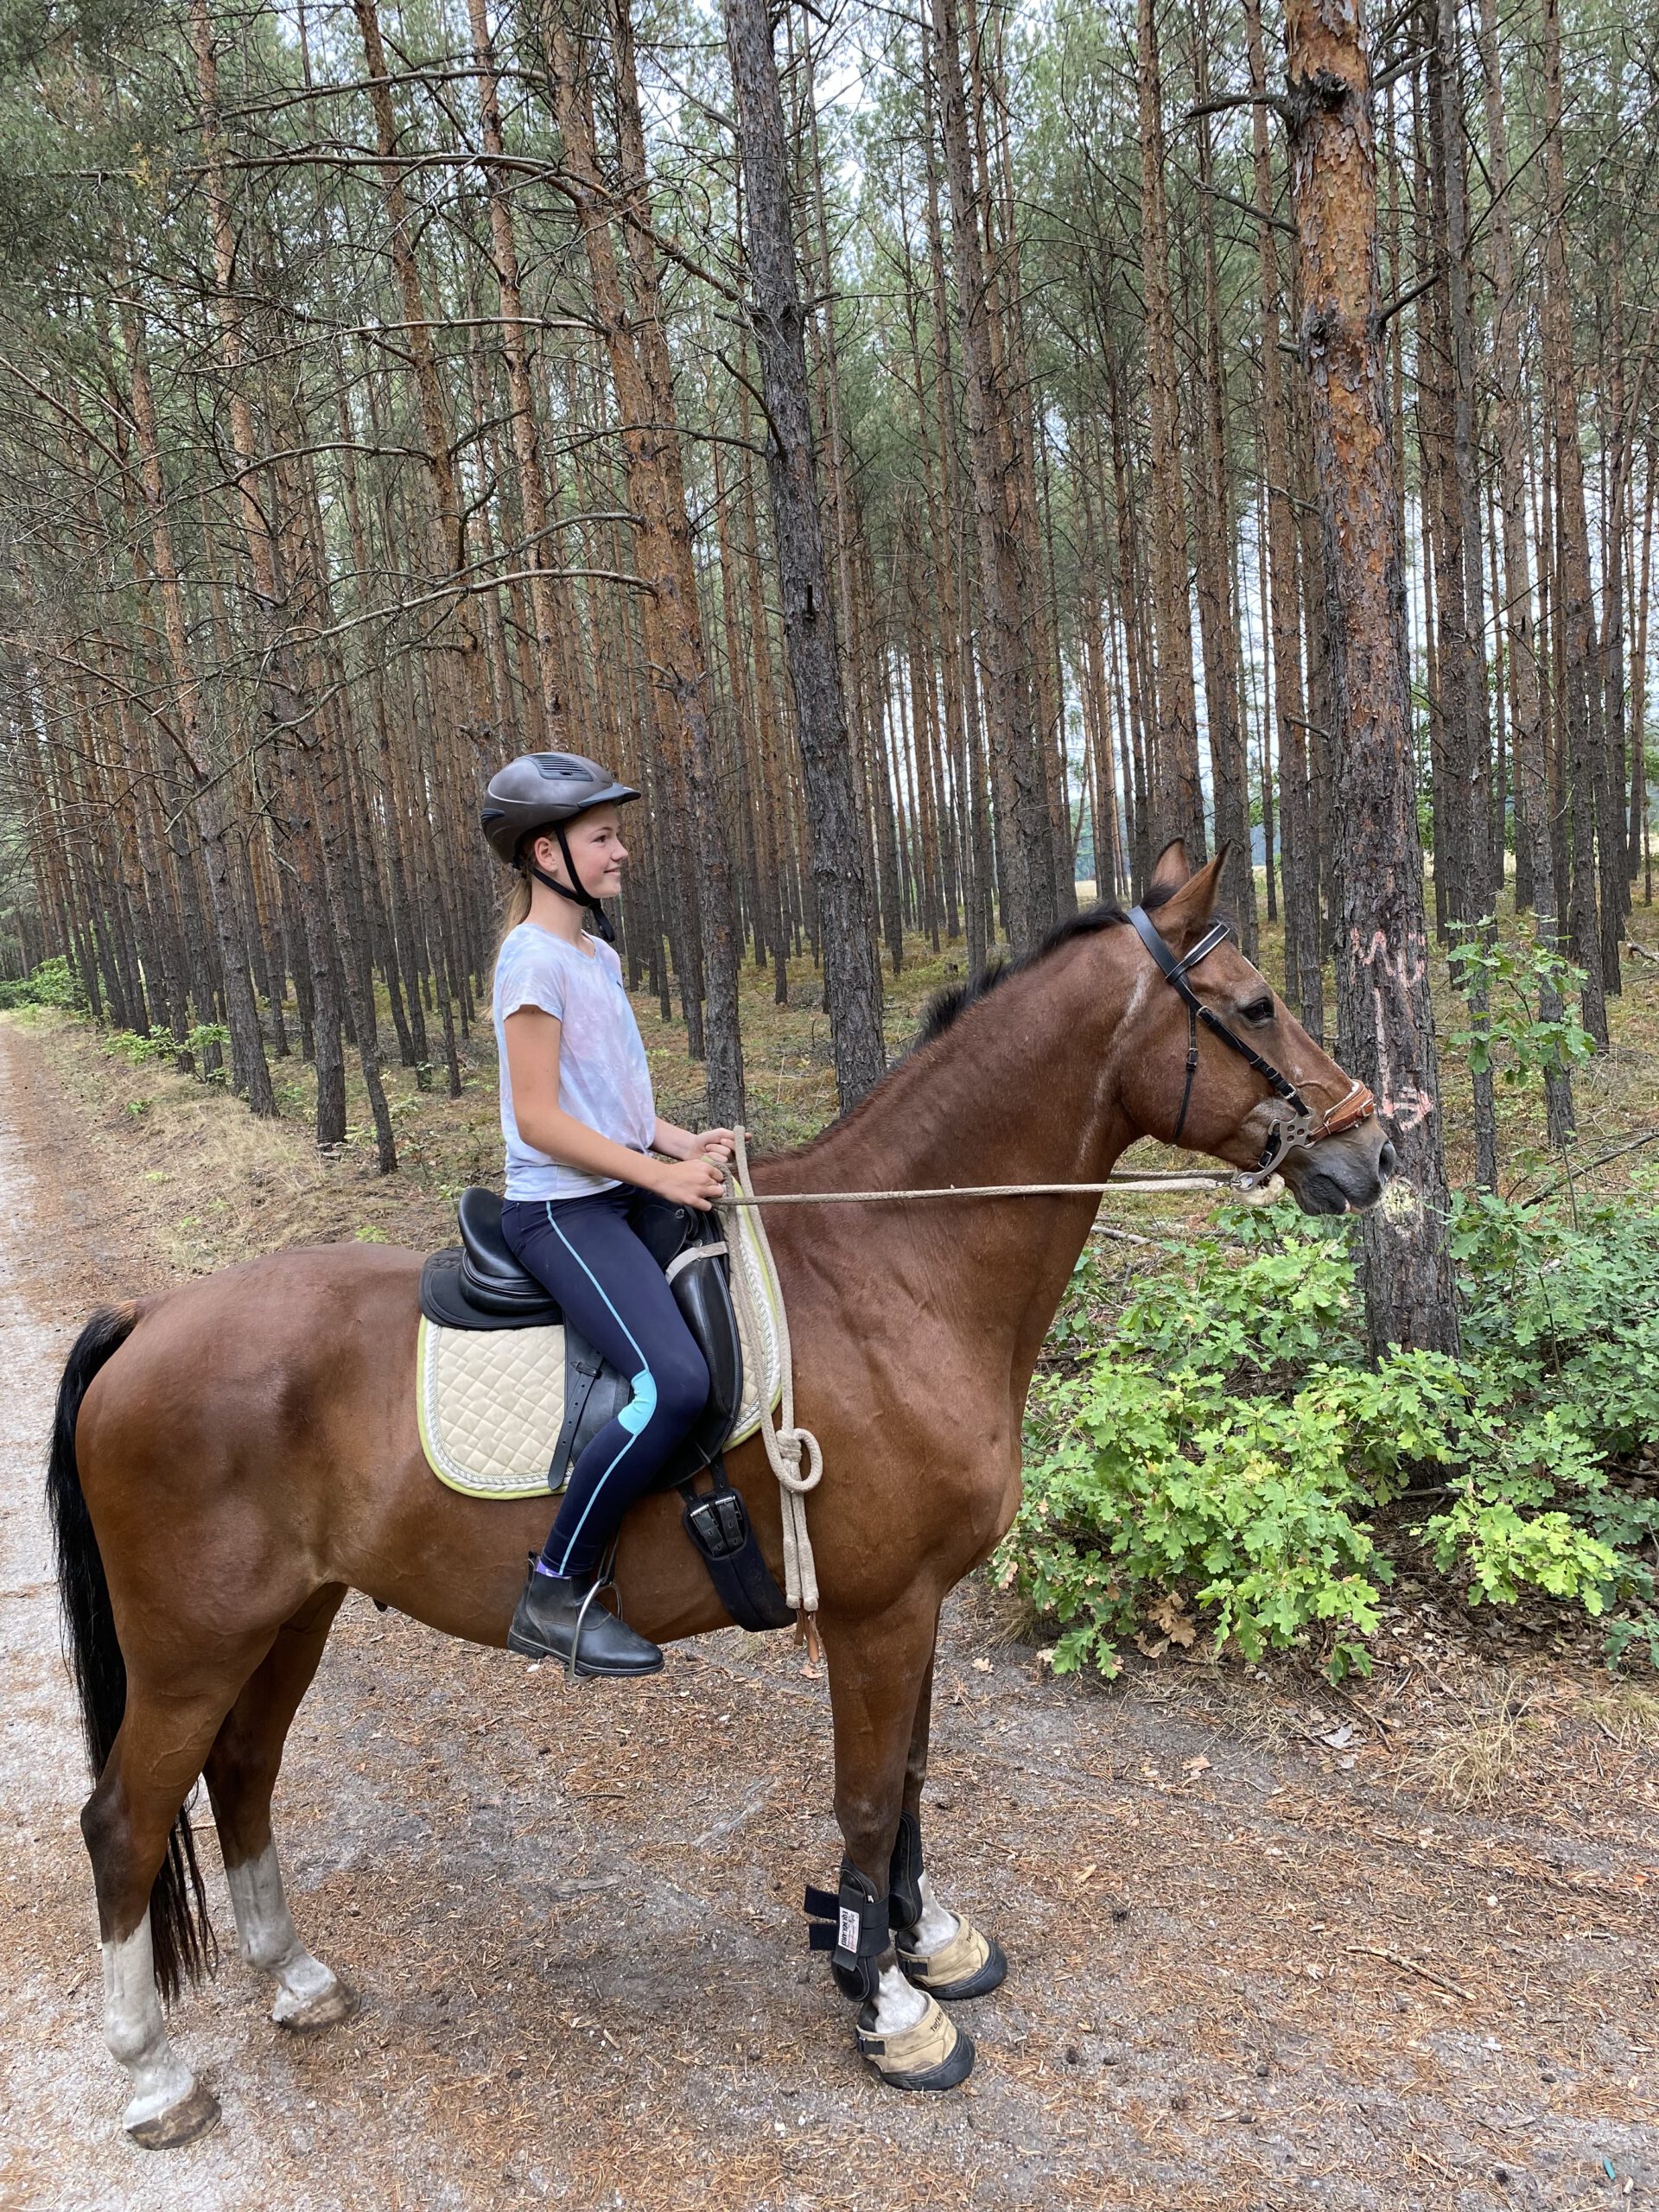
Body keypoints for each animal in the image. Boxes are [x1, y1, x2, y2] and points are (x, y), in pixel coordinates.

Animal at [48, 836, 1407, 2132]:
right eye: (1260, 1001)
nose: (1376, 1146)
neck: (897, 1265)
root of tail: (149, 1318)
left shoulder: (918, 1605)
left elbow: (914, 1783)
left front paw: (923, 1939)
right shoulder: (876, 1612)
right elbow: (868, 1800)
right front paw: (890, 2006)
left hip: (292, 1616)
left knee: (243, 1774)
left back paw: (295, 1980)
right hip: (192, 1645)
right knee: (124, 1821)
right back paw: (154, 2076)